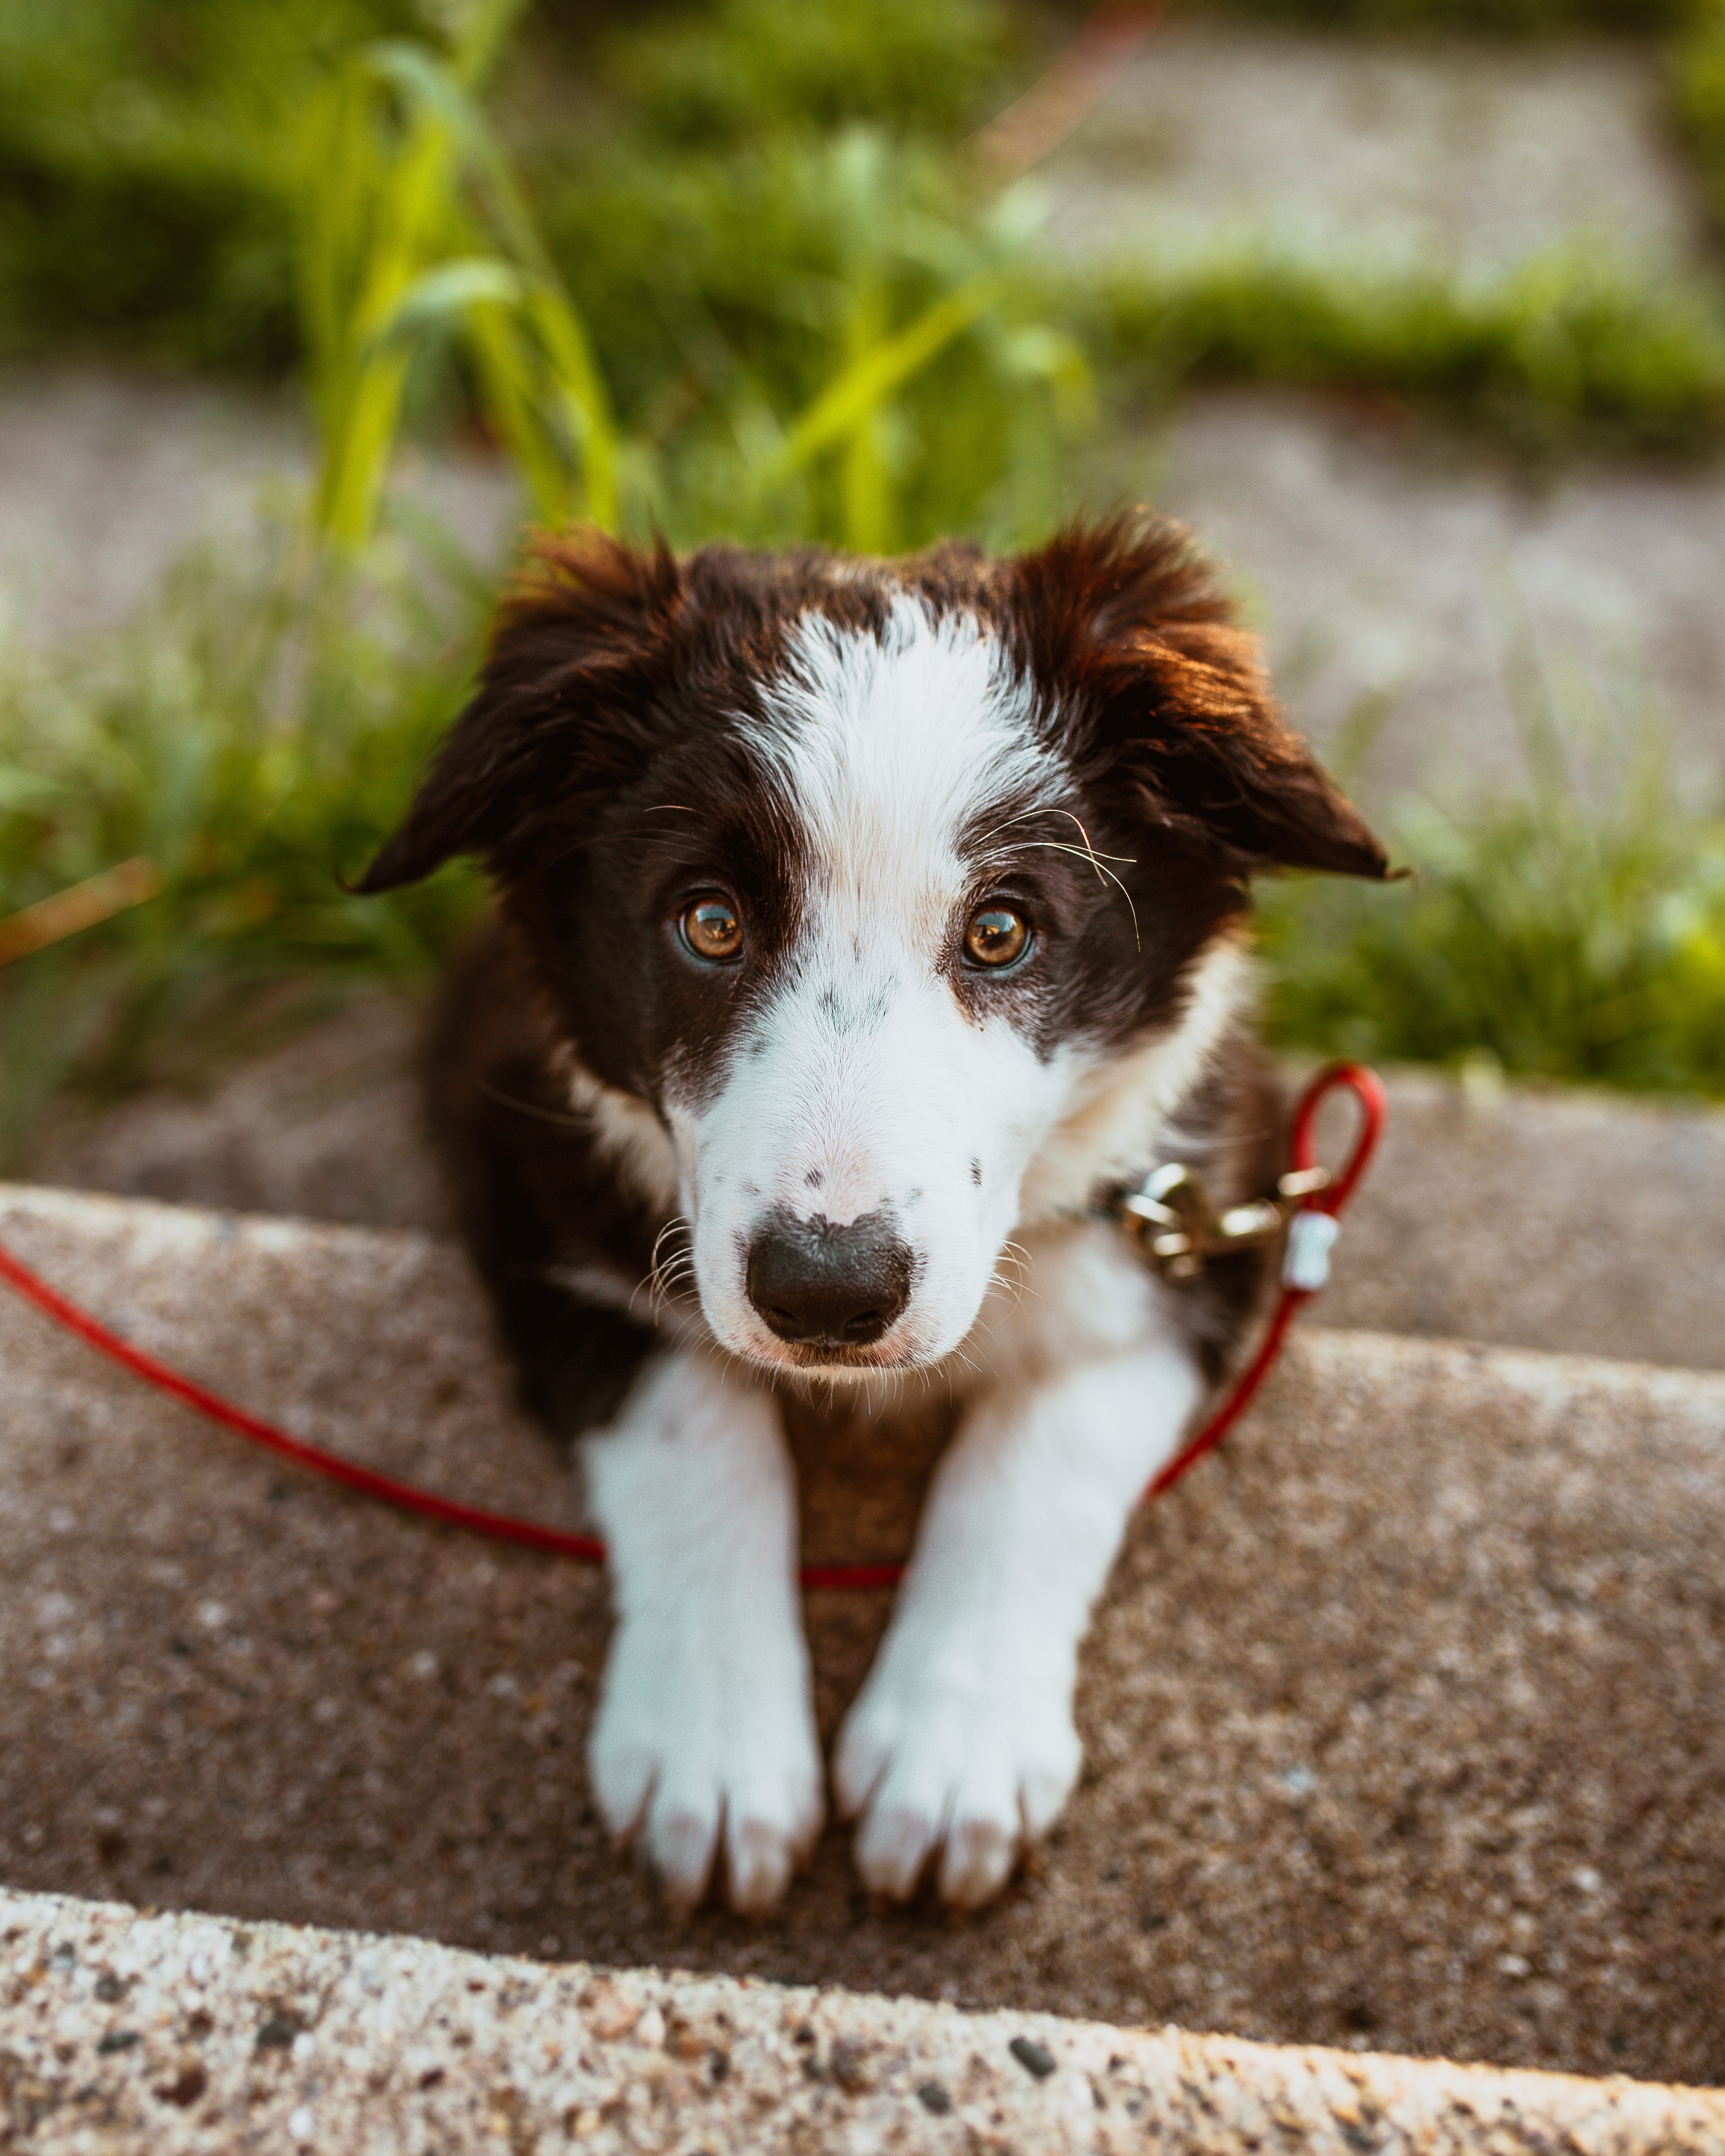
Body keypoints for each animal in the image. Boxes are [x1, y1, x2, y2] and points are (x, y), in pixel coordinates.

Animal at [354, 513, 1388, 1914]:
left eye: (1001, 931)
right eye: (709, 922)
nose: (827, 1293)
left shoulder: (1201, 1207)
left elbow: (1040, 1453)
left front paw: (953, 1754)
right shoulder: (526, 1173)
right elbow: (694, 1422)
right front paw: (714, 1753)